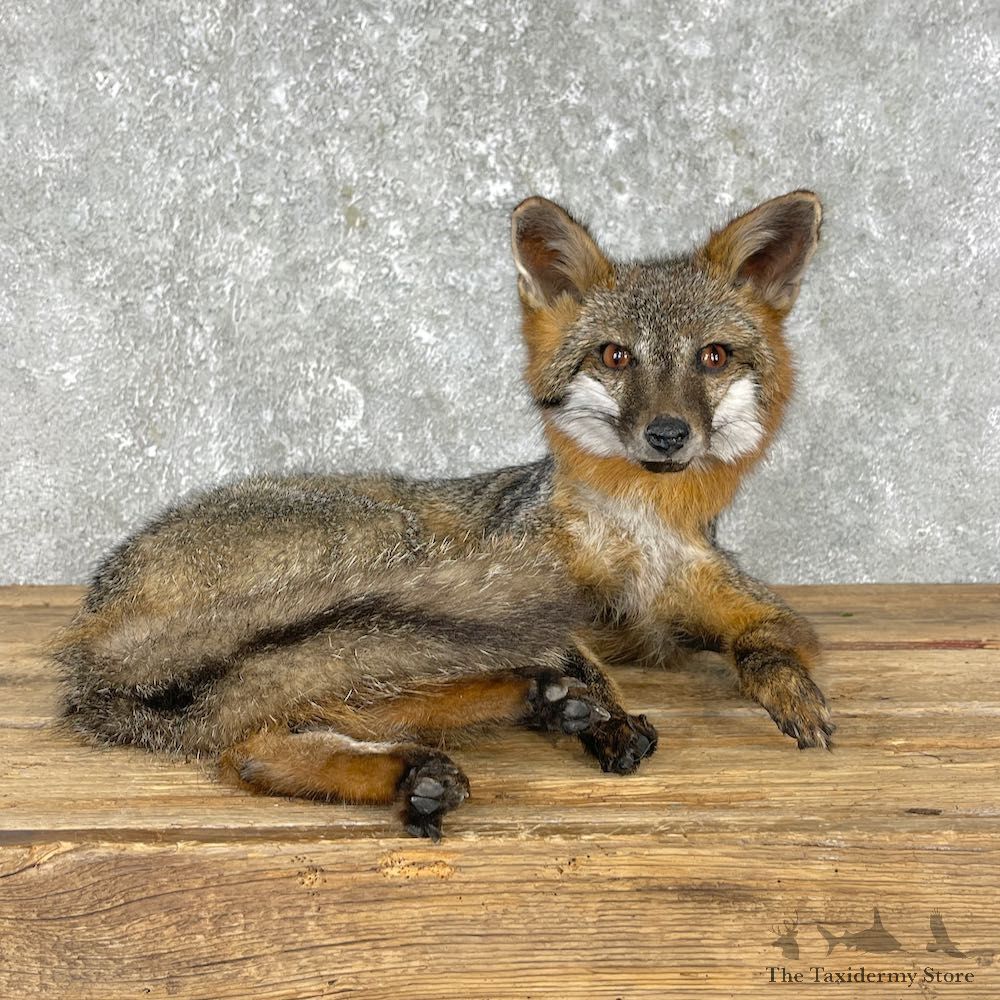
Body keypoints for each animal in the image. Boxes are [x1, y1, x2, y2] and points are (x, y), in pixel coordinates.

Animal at [53, 190, 833, 839]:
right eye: (616, 357)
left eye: (713, 358)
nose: (668, 435)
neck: (637, 535)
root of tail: (100, 611)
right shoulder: (537, 587)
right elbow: (580, 655)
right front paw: (608, 719)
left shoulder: (731, 602)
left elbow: (768, 641)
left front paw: (792, 692)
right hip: (399, 560)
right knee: (280, 720)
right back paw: (521, 712)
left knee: (257, 742)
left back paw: (435, 763)